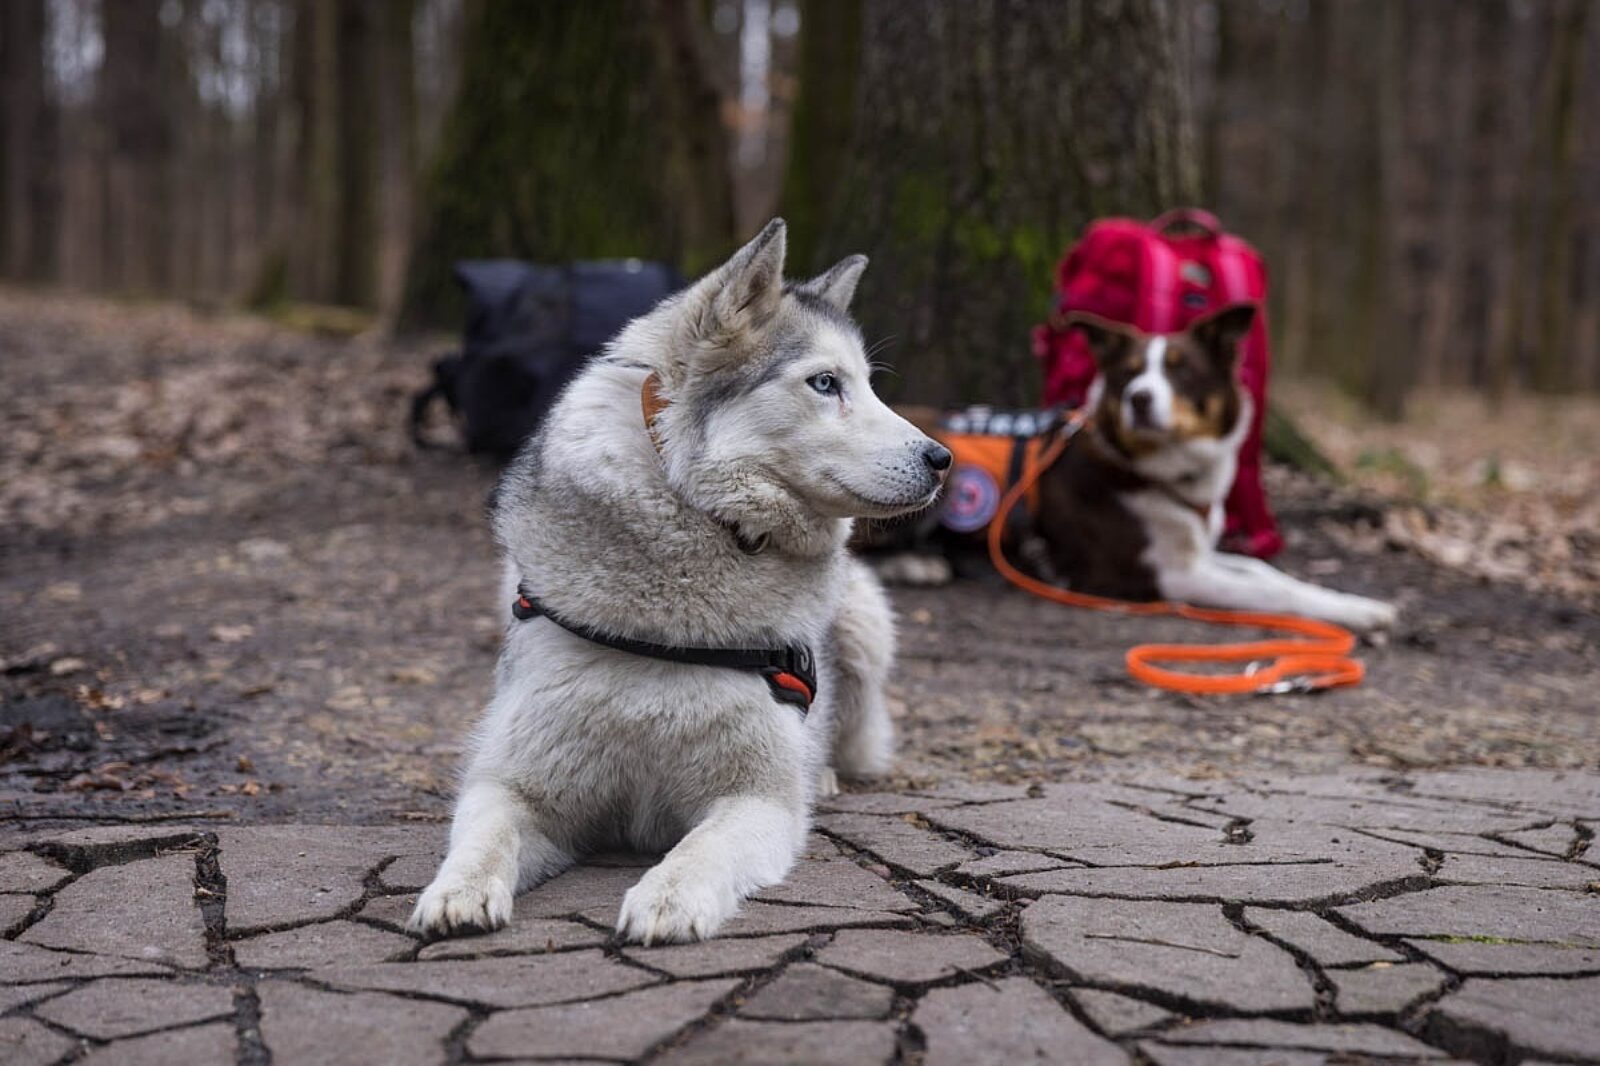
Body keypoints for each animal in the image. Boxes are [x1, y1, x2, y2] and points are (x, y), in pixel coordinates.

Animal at [409, 219, 951, 945]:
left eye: (868, 385)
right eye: (825, 383)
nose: (943, 458)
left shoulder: (756, 796)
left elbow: (701, 846)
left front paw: (668, 898)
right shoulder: (518, 780)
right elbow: (485, 833)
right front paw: (457, 891)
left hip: (865, 626)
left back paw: (827, 775)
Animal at [865, 305, 1398, 632]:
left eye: (1182, 370)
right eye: (1130, 373)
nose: (1139, 399)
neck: (1156, 472)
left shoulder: (1194, 553)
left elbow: (1268, 574)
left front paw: (1358, 603)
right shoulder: (1166, 577)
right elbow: (1269, 596)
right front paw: (1352, 613)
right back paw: (916, 564)